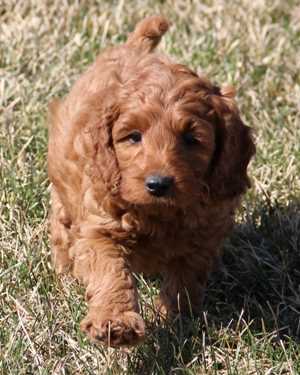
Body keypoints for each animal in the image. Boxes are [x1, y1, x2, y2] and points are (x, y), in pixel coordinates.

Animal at [48, 15, 254, 350]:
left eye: (191, 139)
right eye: (133, 137)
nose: (158, 184)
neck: (157, 214)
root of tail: (133, 47)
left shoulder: (204, 235)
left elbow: (185, 280)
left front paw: (176, 319)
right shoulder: (100, 228)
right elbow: (110, 273)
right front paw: (115, 323)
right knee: (62, 226)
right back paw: (65, 271)